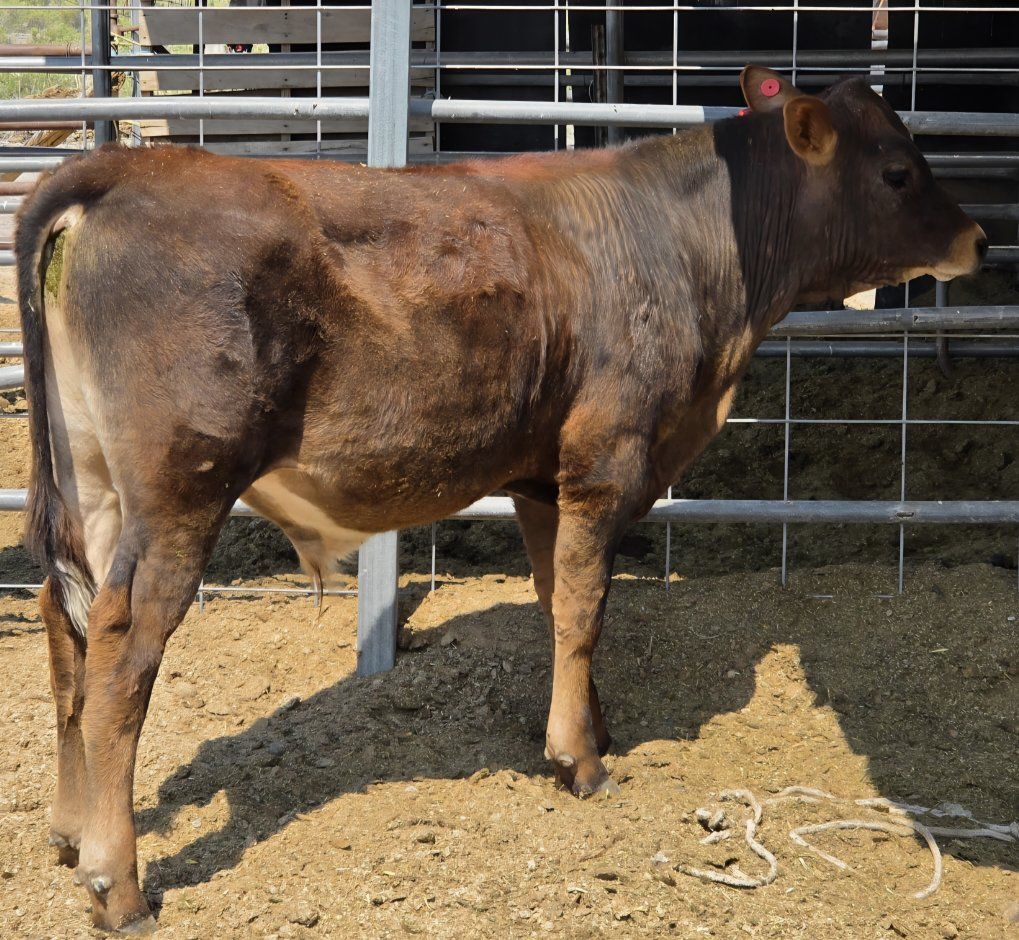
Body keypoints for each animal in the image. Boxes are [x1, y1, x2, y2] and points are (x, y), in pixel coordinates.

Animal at [15, 66, 984, 932]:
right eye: (898, 172)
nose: (979, 237)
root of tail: (127, 170)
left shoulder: (540, 480)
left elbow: (560, 600)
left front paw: (591, 725)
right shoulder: (606, 457)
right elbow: (586, 606)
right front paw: (580, 762)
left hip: (89, 481)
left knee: (63, 619)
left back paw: (67, 830)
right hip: (182, 488)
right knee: (121, 646)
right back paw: (117, 884)